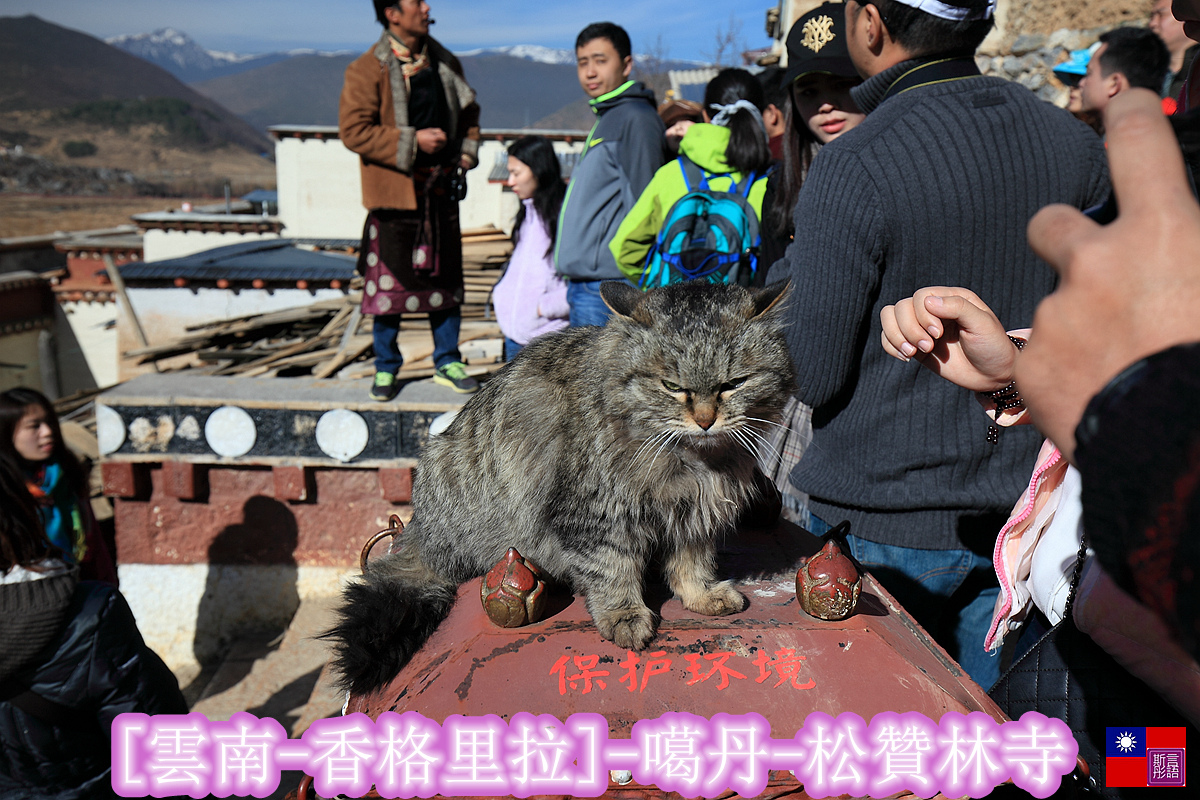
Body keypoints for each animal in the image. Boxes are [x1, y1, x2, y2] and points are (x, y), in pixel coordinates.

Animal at [328, 280, 796, 695]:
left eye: (733, 384)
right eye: (672, 387)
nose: (704, 420)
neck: (694, 459)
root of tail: (420, 533)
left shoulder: (695, 512)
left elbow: (691, 564)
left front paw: (701, 595)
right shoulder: (596, 513)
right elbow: (612, 570)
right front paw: (624, 615)